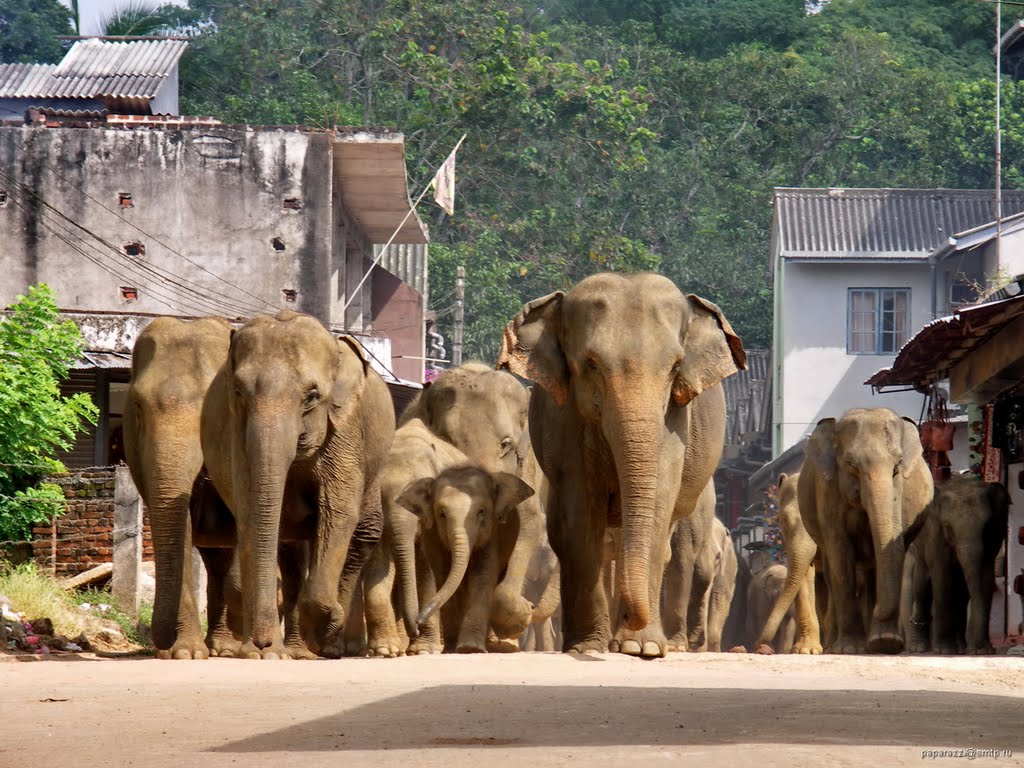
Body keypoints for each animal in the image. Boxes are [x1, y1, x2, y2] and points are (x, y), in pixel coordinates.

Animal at [200, 309, 395, 659]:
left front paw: (324, 629)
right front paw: (262, 651)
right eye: (238, 392)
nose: (262, 640)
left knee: (363, 532)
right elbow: (249, 510)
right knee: (289, 548)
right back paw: (285, 652)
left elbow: (339, 511)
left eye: (312, 397)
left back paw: (323, 646)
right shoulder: (236, 432)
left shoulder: (344, 431)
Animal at [395, 466, 536, 651]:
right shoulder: (433, 537)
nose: (418, 621)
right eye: (441, 514)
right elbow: (444, 575)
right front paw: (452, 649)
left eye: (482, 511)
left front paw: (470, 648)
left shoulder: (493, 534)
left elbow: (483, 576)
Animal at [495, 270, 745, 655]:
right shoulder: (563, 415)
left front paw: (642, 649)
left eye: (675, 367)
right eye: (591, 365)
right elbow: (579, 512)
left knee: (677, 551)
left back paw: (663, 643)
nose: (630, 619)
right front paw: (585, 647)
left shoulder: (675, 420)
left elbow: (658, 505)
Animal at [794, 409, 933, 655]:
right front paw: (850, 648)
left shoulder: (898, 495)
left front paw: (885, 643)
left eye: (897, 466)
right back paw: (838, 645)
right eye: (850, 464)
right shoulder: (828, 491)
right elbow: (841, 556)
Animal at [905, 475, 1007, 655]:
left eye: (986, 525)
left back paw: (960, 647)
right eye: (948, 527)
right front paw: (944, 651)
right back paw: (920, 648)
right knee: (922, 582)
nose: (977, 649)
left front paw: (984, 651)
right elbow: (941, 573)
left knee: (961, 591)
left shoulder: (995, 532)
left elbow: (986, 576)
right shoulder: (935, 532)